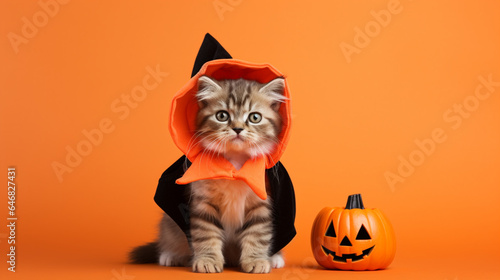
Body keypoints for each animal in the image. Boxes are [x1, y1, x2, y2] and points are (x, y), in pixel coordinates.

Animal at [131, 76, 288, 274]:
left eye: (255, 117)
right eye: (222, 116)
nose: (237, 129)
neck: (234, 165)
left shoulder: (261, 203)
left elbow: (257, 234)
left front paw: (257, 260)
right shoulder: (203, 202)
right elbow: (206, 234)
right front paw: (207, 260)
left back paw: (274, 258)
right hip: (169, 225)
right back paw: (171, 256)